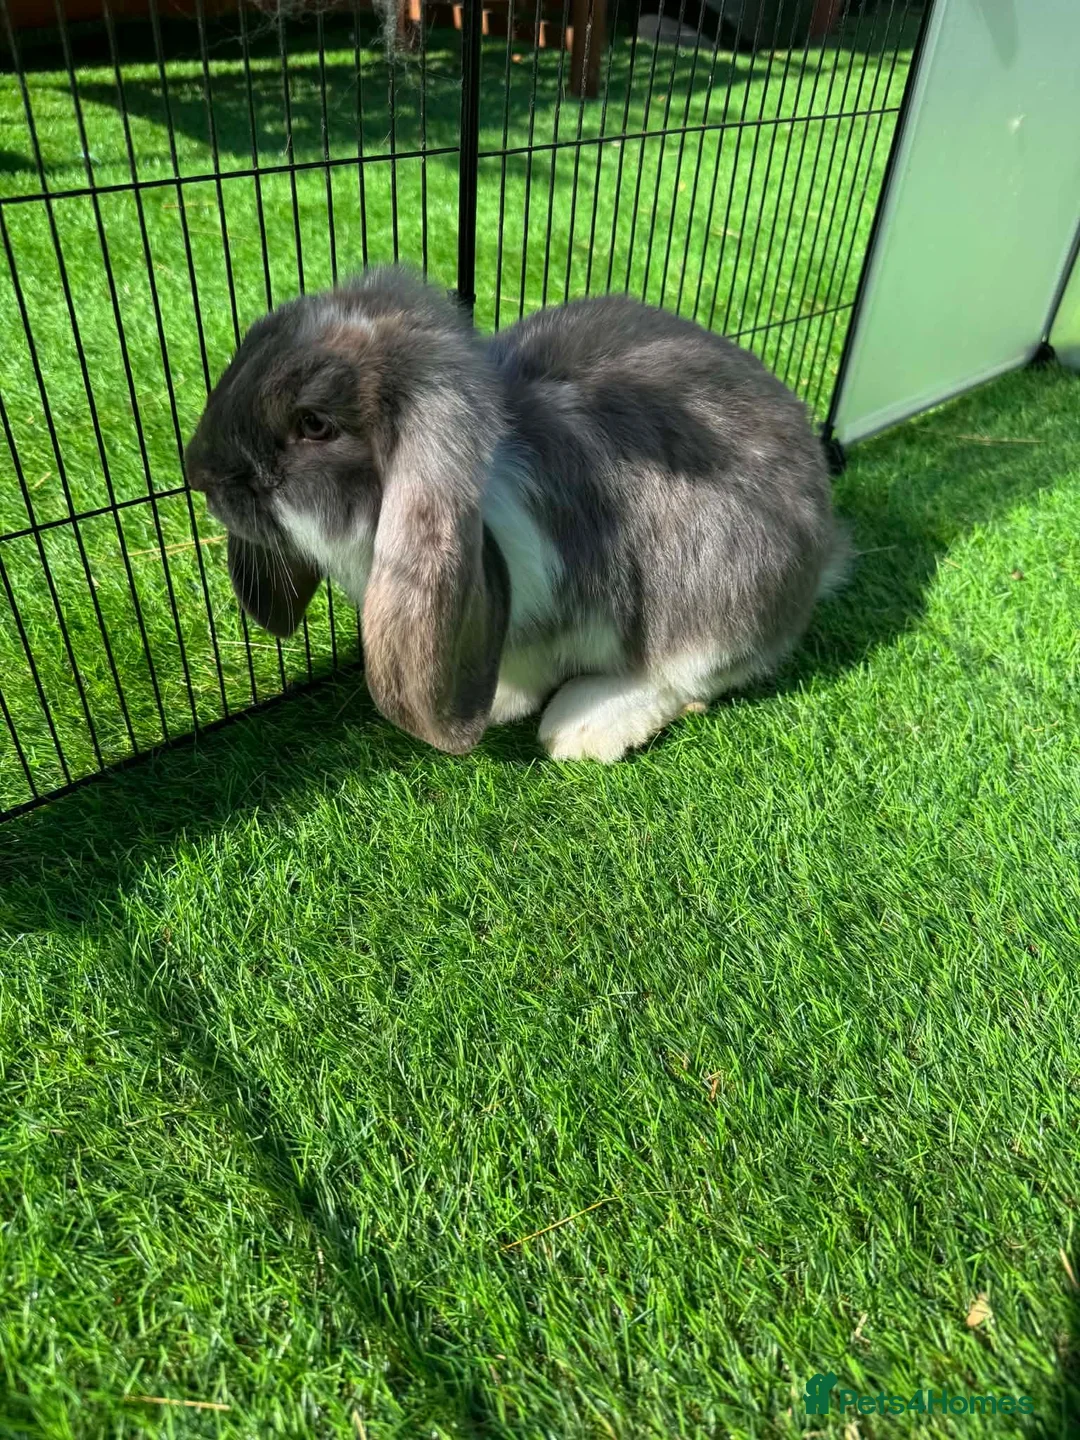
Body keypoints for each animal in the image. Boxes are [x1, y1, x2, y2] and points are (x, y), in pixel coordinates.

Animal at [185, 266, 849, 762]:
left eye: (315, 424)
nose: (199, 473)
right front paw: (499, 699)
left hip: (722, 593)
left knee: (688, 674)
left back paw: (582, 727)